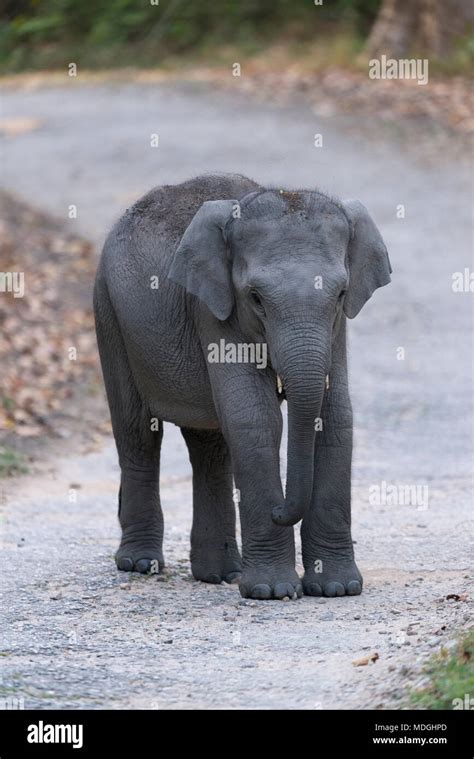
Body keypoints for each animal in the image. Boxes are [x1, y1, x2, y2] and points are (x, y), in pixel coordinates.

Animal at [94, 172, 390, 600]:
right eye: (255, 298)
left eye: (340, 294)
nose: (280, 511)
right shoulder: (213, 309)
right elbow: (255, 419)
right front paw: (273, 592)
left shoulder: (337, 328)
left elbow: (336, 417)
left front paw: (337, 588)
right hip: (108, 312)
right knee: (138, 433)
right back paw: (140, 564)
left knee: (209, 447)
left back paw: (220, 574)